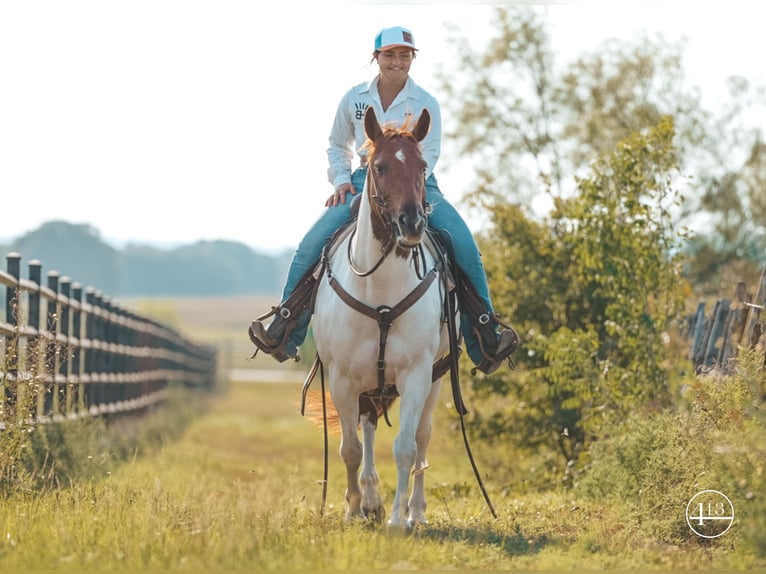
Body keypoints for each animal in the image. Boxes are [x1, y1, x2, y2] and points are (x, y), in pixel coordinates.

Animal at [310, 104, 456, 532]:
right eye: (379, 167)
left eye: (423, 167)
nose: (412, 223)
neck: (380, 293)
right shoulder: (342, 379)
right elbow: (351, 448)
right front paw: (354, 509)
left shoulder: (416, 373)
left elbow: (405, 447)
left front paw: (395, 519)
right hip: (368, 384)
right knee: (370, 426)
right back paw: (371, 499)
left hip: (435, 378)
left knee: (422, 437)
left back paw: (415, 511)